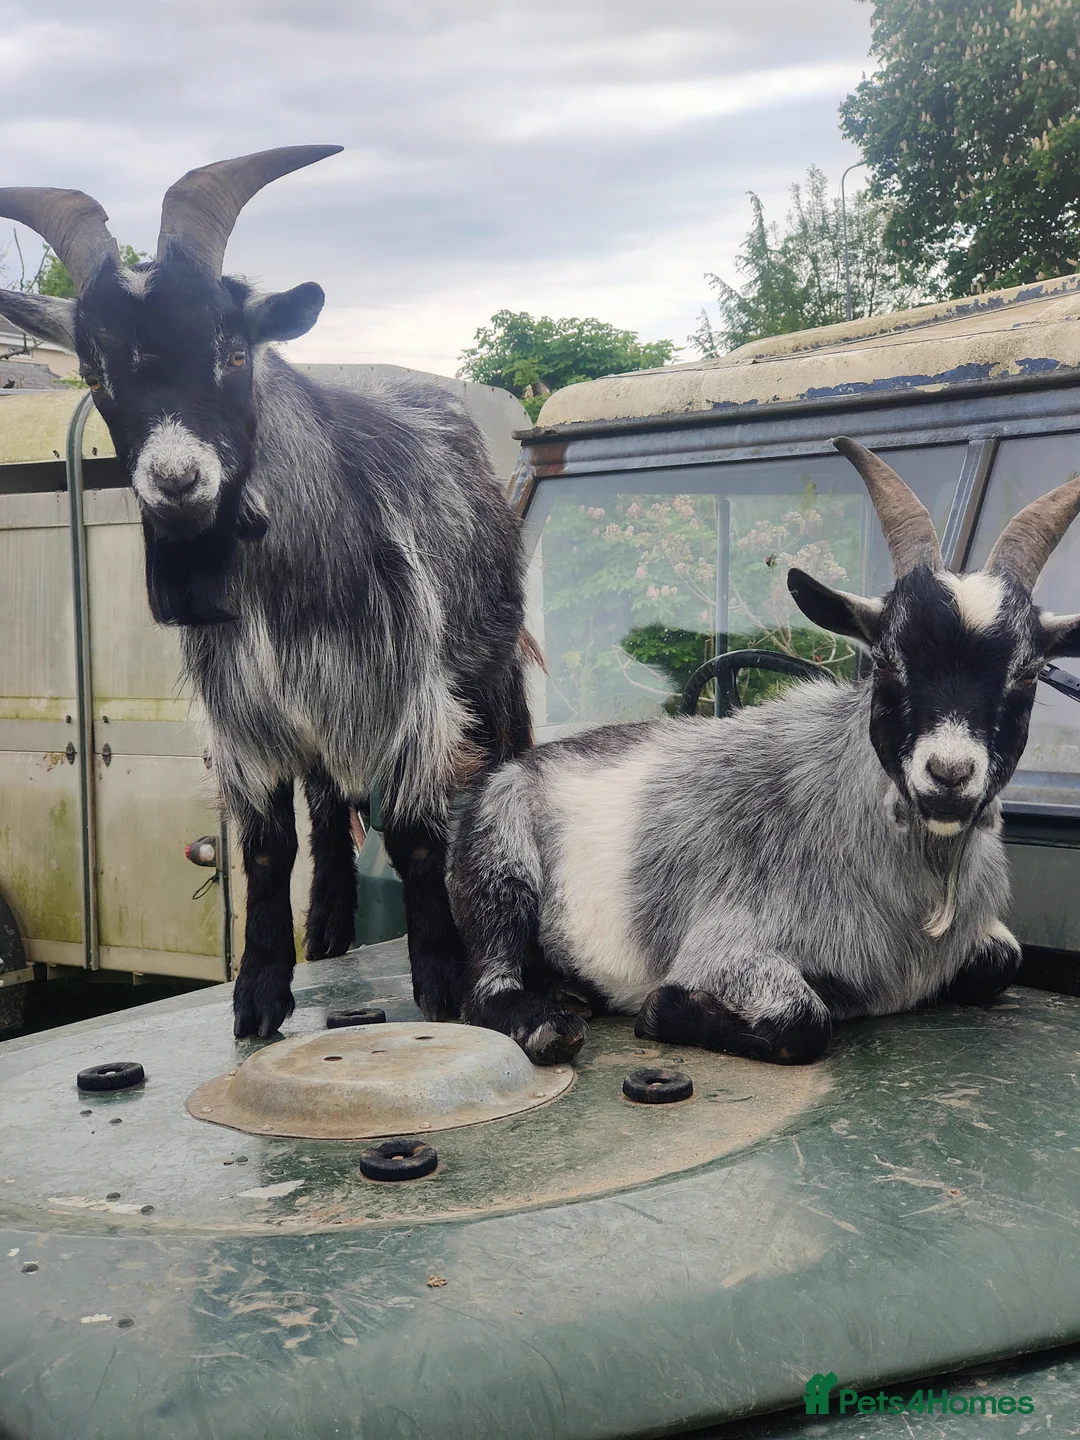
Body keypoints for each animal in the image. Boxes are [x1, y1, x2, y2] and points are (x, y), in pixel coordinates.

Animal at [0, 148, 530, 1037]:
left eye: (234, 352)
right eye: (95, 371)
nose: (177, 481)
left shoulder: (406, 694)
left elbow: (417, 836)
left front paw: (442, 981)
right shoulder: (246, 716)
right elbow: (266, 848)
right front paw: (258, 993)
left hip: (488, 656)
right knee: (325, 800)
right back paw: (329, 924)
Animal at [448, 438, 1080, 1066]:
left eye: (1028, 673)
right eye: (885, 659)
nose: (949, 775)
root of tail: (524, 763)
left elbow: (1004, 961)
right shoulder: (726, 943)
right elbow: (801, 1021)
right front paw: (661, 1009)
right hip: (500, 863)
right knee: (488, 982)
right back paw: (548, 1019)